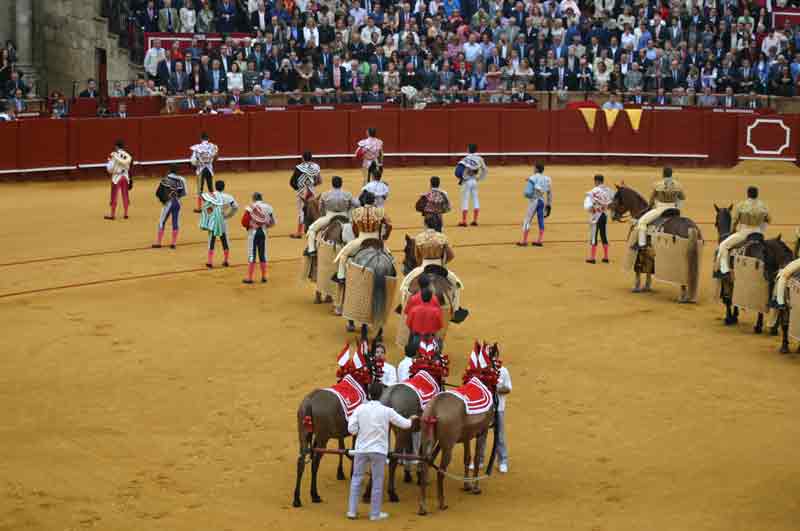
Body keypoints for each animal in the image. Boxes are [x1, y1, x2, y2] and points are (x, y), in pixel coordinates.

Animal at [292, 330, 382, 510]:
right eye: (374, 360)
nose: (380, 379)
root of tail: (309, 402)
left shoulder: (341, 430)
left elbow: (342, 448)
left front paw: (341, 472)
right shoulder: (355, 431)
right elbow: (352, 449)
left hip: (304, 434)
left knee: (301, 461)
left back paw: (297, 498)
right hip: (322, 438)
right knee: (315, 462)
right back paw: (314, 494)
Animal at [418, 344, 500, 516]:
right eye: (496, 362)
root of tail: (434, 408)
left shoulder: (467, 436)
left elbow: (467, 457)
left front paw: (466, 485)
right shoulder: (482, 431)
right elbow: (476, 457)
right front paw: (475, 487)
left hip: (429, 440)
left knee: (425, 464)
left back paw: (423, 506)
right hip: (447, 446)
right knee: (440, 471)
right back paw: (441, 503)